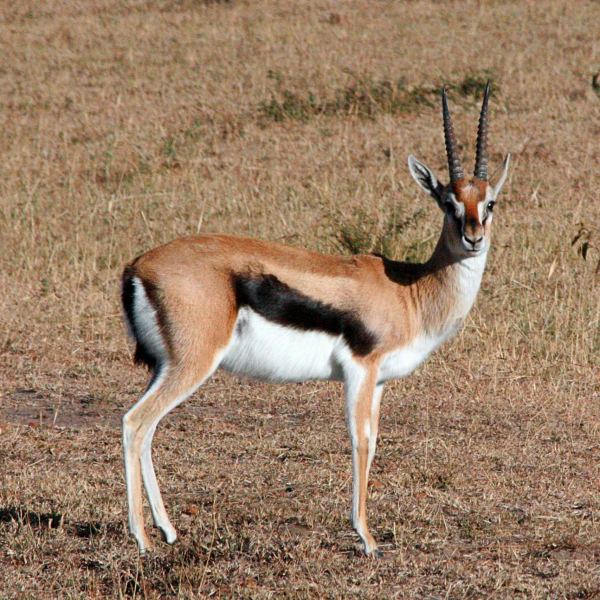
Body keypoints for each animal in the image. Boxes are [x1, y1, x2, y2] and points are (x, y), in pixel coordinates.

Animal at [121, 82, 510, 558]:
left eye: (489, 202)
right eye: (448, 203)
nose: (473, 238)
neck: (409, 290)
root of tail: (139, 265)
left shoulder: (379, 380)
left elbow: (374, 443)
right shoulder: (360, 369)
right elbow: (360, 441)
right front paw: (366, 538)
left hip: (165, 366)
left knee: (147, 429)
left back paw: (167, 529)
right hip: (192, 364)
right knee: (136, 423)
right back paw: (143, 538)